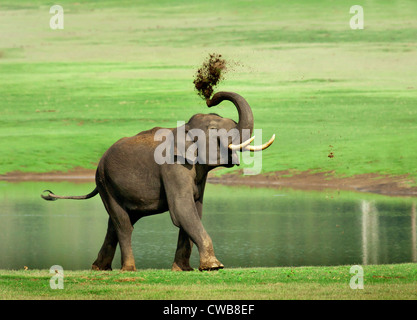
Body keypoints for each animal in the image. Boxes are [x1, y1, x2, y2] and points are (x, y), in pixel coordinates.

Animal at [42, 91, 274, 272]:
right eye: (214, 129)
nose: (210, 99)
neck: (184, 128)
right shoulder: (173, 166)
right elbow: (182, 209)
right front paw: (214, 266)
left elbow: (194, 210)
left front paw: (183, 269)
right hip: (105, 182)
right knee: (123, 223)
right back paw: (128, 269)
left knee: (115, 223)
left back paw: (100, 268)